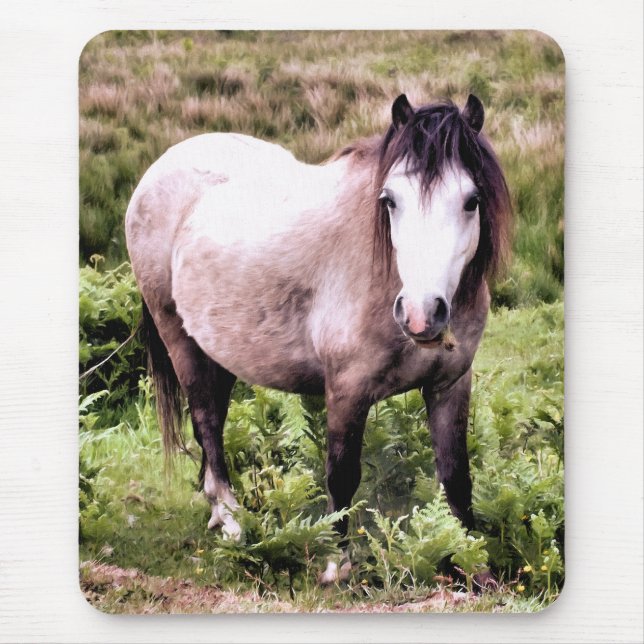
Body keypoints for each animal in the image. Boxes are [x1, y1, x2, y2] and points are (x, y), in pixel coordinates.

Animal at [125, 93, 511, 584]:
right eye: (390, 200)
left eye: (471, 200)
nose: (421, 314)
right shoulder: (346, 389)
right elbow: (341, 475)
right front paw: (335, 565)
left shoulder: (450, 385)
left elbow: (456, 476)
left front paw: (472, 564)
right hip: (179, 339)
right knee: (207, 423)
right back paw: (232, 520)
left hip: (219, 350)